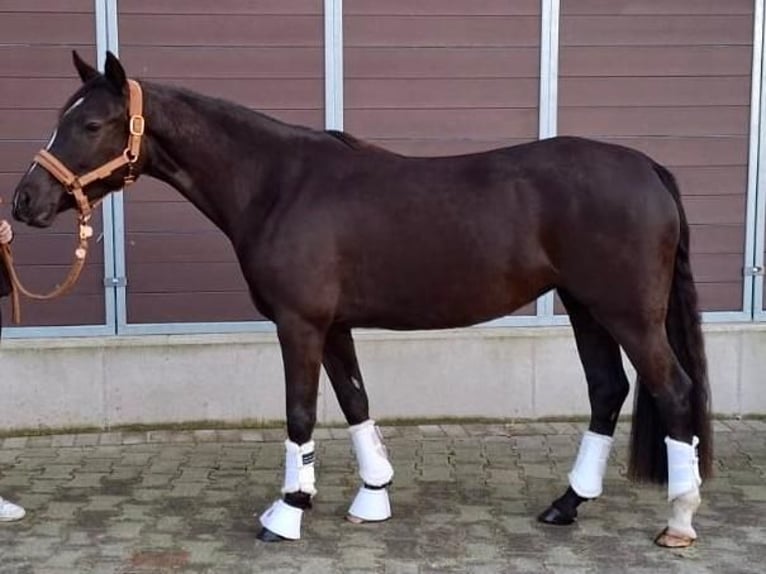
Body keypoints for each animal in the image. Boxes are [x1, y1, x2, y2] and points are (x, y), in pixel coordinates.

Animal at [10, 53, 712, 548]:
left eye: (90, 123)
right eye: (60, 116)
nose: (25, 201)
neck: (278, 184)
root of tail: (648, 168)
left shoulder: (298, 324)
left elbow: (300, 413)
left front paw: (286, 513)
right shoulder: (334, 326)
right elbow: (354, 402)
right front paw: (371, 499)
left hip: (627, 313)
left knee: (674, 390)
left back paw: (679, 519)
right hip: (585, 306)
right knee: (607, 390)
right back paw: (566, 506)